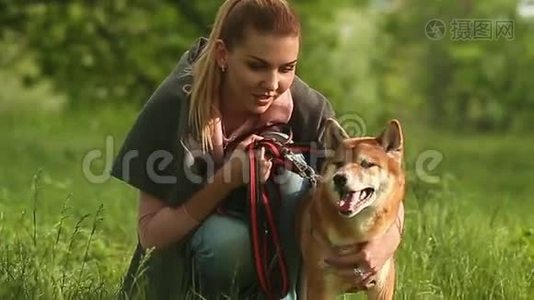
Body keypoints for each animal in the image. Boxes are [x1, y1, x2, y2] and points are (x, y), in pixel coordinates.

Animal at [298, 118, 406, 298]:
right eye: (339, 164)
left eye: (367, 164)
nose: (339, 178)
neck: (356, 234)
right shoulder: (320, 287)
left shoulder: (382, 287)